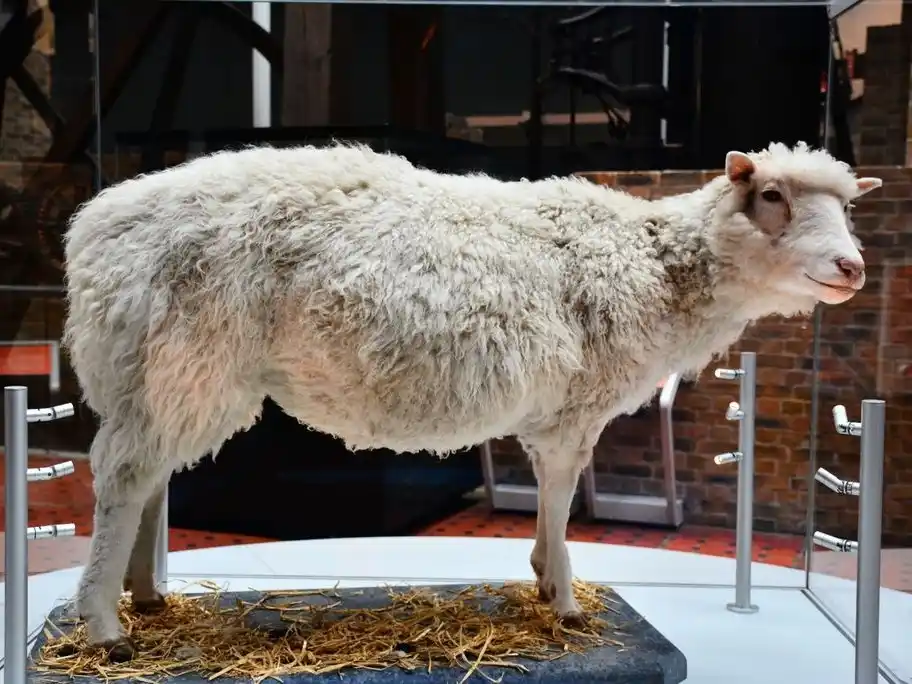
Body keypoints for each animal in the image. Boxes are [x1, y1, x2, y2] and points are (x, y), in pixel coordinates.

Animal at [62, 140, 881, 660]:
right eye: (771, 196)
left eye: (849, 210)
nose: (853, 268)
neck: (654, 264)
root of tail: (93, 228)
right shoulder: (574, 407)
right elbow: (559, 493)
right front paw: (564, 597)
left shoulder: (563, 410)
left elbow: (555, 495)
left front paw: (546, 578)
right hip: (188, 356)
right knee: (126, 477)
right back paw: (104, 623)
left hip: (156, 372)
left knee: (148, 477)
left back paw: (148, 597)